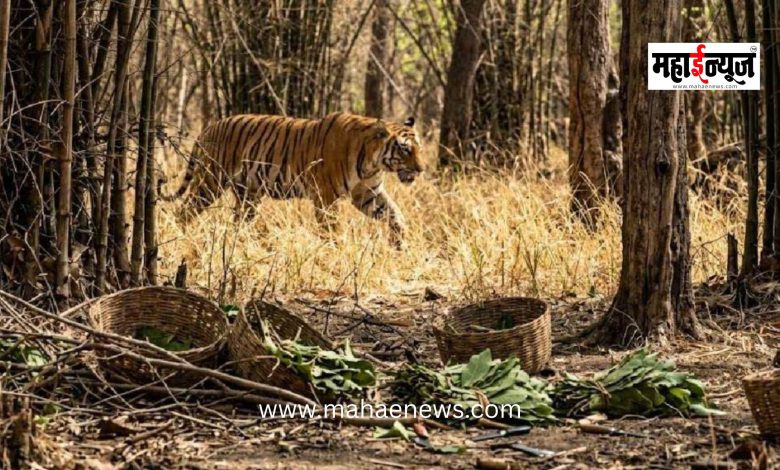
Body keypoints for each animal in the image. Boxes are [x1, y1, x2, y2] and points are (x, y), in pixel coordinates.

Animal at [166, 112, 423, 246]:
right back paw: (180, 236)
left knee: (238, 220)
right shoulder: (325, 196)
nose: (420, 170)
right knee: (184, 210)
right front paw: (335, 249)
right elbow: (331, 227)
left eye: (418, 147)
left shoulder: (367, 193)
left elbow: (395, 214)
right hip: (210, 182)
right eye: (405, 149)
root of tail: (209, 127)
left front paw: (399, 244)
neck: (372, 162)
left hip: (248, 193)